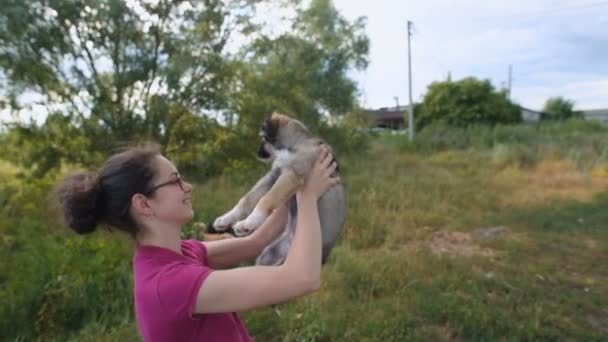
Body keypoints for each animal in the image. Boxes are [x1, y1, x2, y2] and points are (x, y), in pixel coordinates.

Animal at [213, 113, 346, 266]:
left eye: (263, 138)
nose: (257, 153)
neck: (295, 144)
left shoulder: (292, 174)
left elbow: (267, 198)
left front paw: (250, 221)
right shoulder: (274, 175)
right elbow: (247, 199)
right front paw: (227, 219)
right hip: (267, 256)